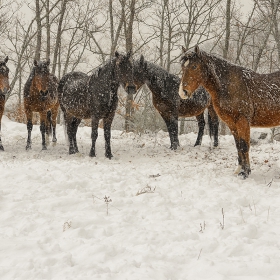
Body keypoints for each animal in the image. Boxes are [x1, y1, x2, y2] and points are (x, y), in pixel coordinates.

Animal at [179, 44, 280, 178]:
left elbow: (244, 146)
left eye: (194, 66)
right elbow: (238, 146)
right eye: (182, 66)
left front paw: (245, 173)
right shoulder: (232, 123)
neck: (229, 86)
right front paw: (239, 170)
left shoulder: (242, 121)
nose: (183, 92)